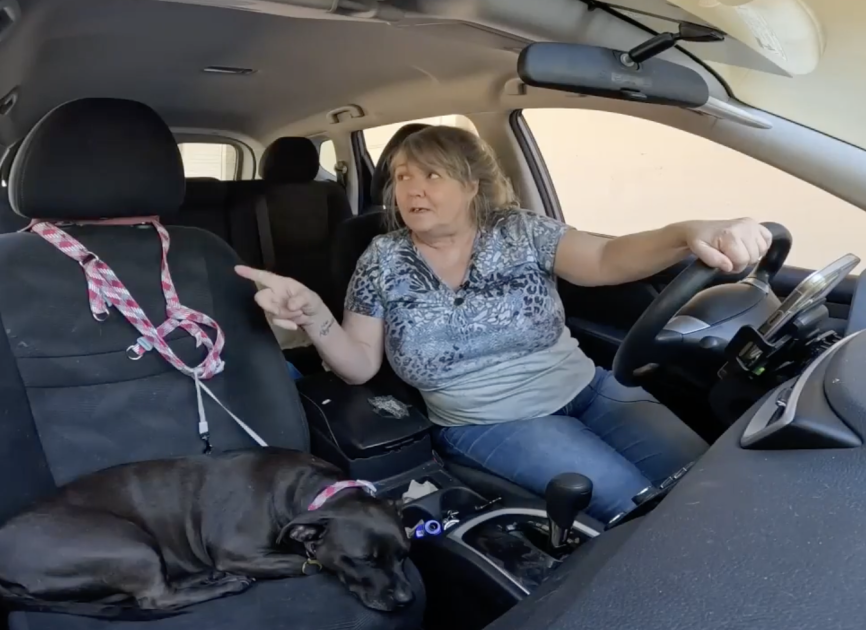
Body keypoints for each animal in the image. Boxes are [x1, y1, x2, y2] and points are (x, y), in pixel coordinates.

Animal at [0, 446, 412, 620]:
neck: (312, 490)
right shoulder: (237, 552)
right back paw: (227, 584)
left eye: (404, 555)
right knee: (155, 599)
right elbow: (308, 563)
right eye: (362, 560)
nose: (407, 598)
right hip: (127, 543)